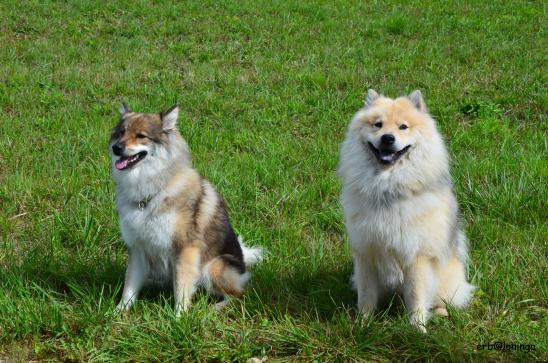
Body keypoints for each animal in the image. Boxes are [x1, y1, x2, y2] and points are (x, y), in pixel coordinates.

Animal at [109, 101, 264, 316]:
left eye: (141, 136)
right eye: (121, 133)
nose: (116, 148)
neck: (154, 190)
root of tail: (243, 265)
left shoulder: (185, 249)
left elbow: (181, 288)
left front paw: (179, 317)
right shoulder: (138, 248)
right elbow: (129, 286)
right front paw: (118, 312)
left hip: (214, 267)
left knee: (238, 295)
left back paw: (213, 309)